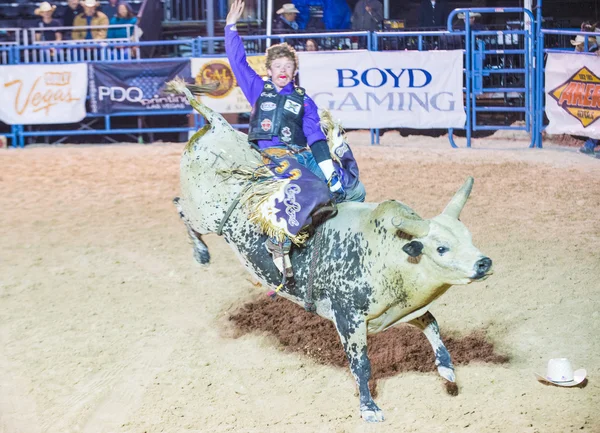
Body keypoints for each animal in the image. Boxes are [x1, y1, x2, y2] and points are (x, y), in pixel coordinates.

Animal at [168, 79, 492, 420]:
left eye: (468, 237)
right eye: (441, 248)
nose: (483, 263)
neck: (390, 253)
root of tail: (217, 125)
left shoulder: (398, 311)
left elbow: (431, 324)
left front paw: (447, 369)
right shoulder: (348, 318)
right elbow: (361, 365)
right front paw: (369, 408)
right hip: (207, 216)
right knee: (180, 208)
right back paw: (201, 253)